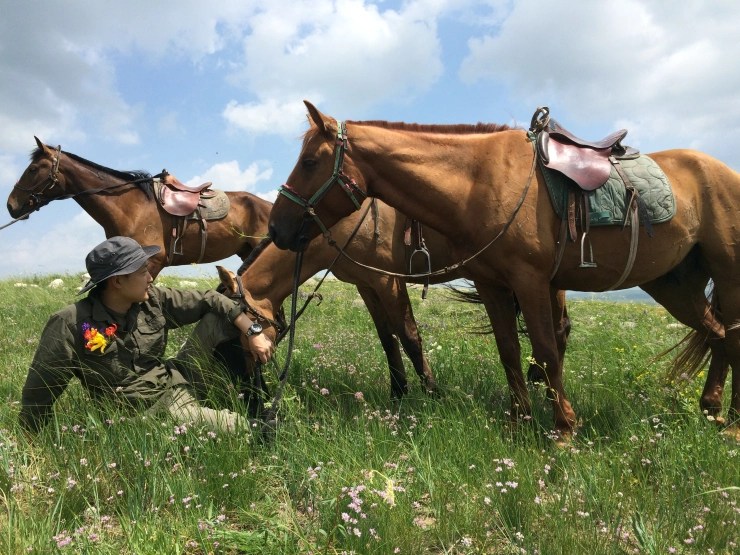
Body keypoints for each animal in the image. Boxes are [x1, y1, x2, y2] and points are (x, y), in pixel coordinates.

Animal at [267, 101, 737, 437]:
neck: (478, 181)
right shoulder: (491, 284)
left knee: (731, 337)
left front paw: (564, 428)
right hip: (674, 285)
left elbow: (544, 350)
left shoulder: (528, 281)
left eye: (309, 162)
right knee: (716, 334)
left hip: (727, 273)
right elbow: (509, 350)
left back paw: (729, 421)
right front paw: (519, 421)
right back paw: (711, 409)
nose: (276, 227)